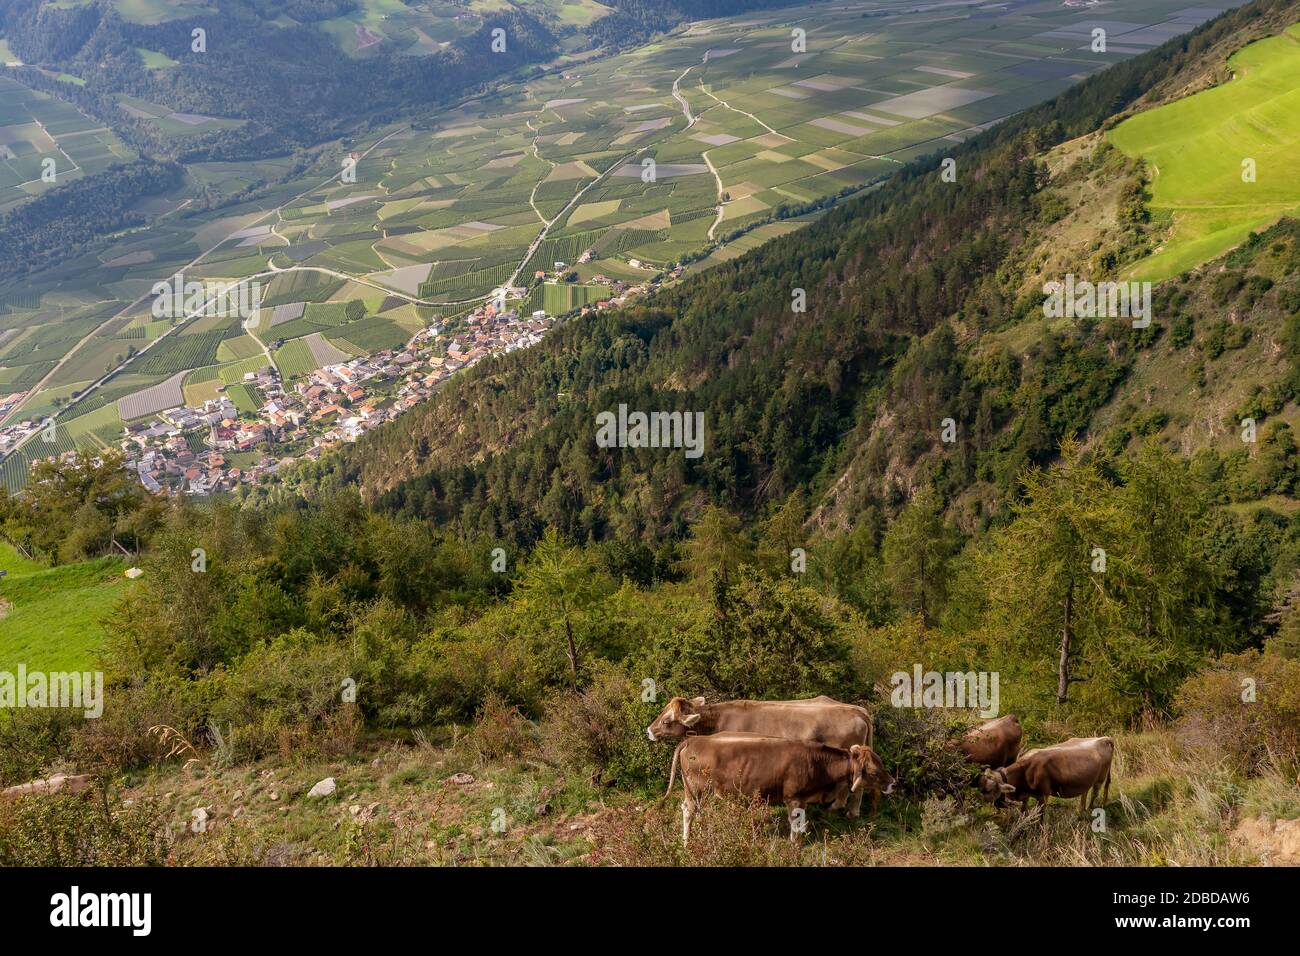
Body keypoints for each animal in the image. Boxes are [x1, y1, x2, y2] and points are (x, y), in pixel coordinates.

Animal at [670, 733, 894, 842]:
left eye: (881, 763)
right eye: (873, 771)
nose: (893, 783)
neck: (816, 762)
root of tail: (693, 740)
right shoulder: (794, 798)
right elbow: (795, 825)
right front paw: (795, 846)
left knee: (698, 811)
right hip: (694, 787)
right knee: (688, 810)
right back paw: (687, 840)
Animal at [977, 738, 1112, 816]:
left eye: (988, 790)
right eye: (980, 787)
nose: (978, 805)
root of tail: (1103, 738)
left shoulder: (1043, 796)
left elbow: (1040, 817)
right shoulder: (1026, 795)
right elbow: (1023, 812)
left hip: (1100, 778)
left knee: (1094, 794)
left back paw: (1089, 811)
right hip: (1086, 780)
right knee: (1085, 793)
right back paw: (1080, 812)